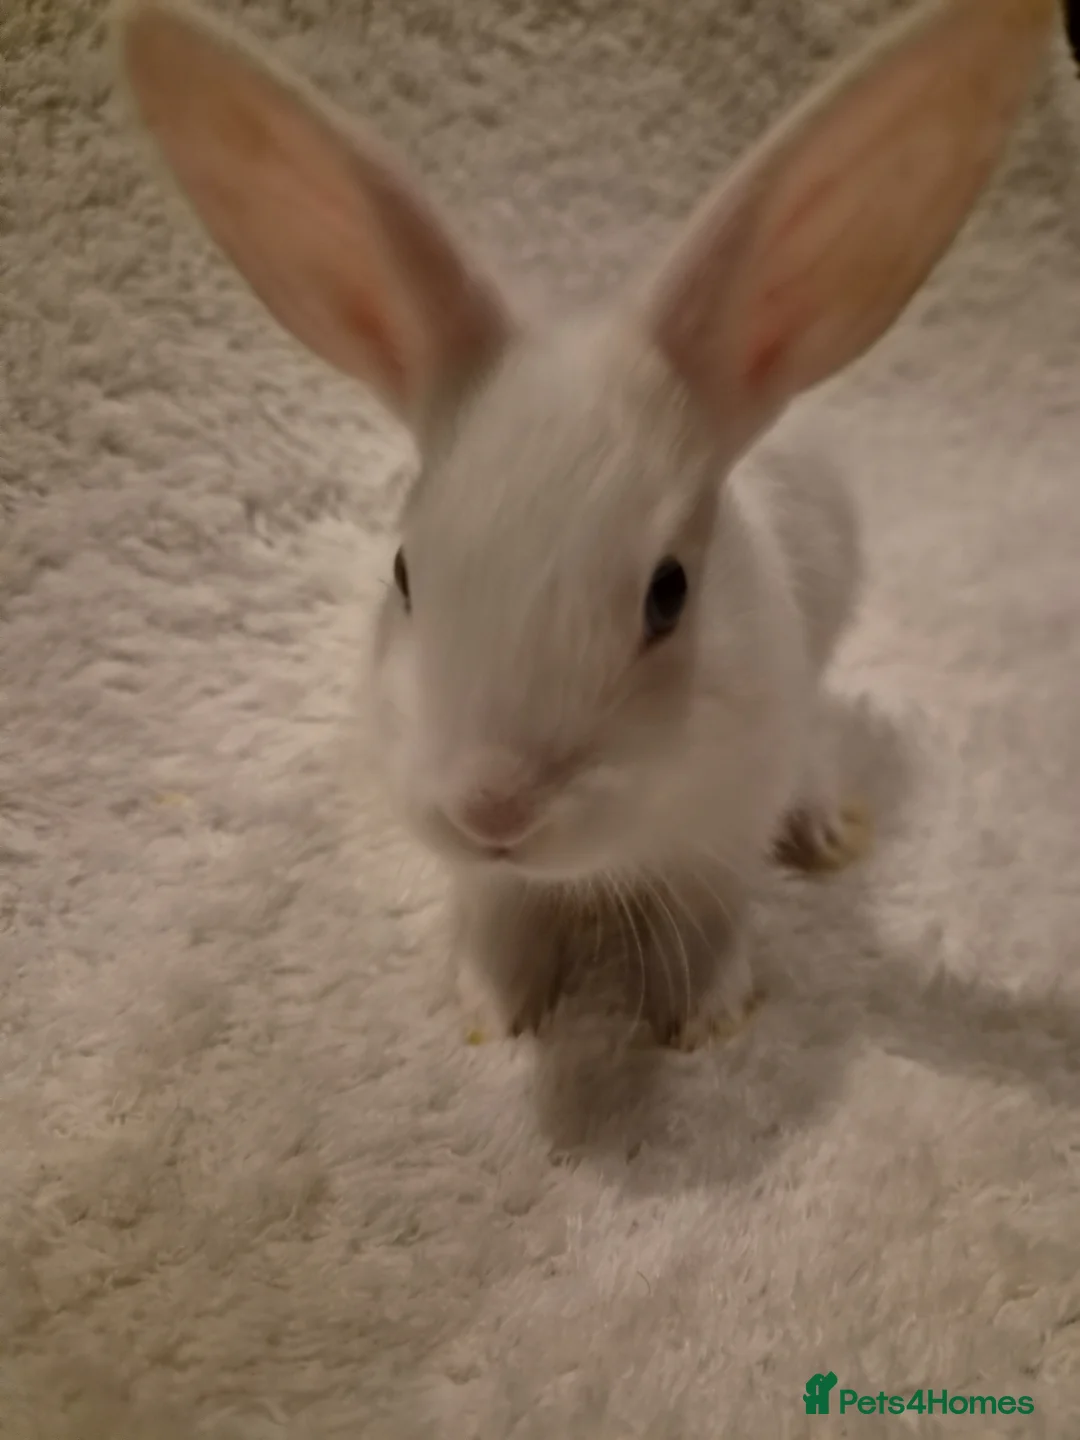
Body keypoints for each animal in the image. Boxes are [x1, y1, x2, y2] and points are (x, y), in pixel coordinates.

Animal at [115, 0, 1056, 1049]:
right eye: (403, 573)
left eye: (669, 594)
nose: (492, 810)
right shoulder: (490, 877)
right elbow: (501, 917)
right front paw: (492, 1011)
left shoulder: (722, 832)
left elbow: (707, 915)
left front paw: (703, 1017)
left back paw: (823, 827)